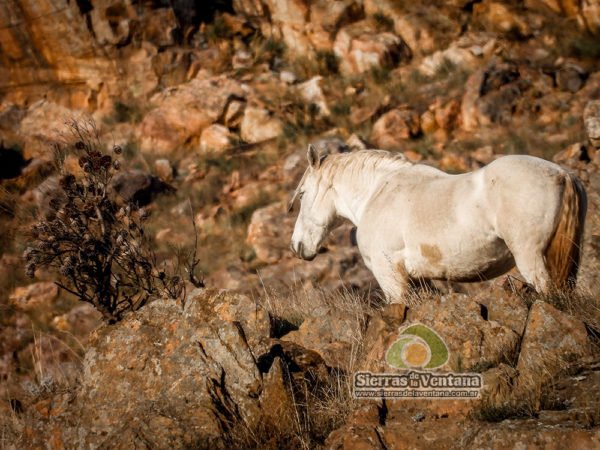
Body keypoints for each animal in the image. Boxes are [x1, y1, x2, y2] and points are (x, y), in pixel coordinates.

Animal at [290, 147, 584, 302]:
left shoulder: (390, 277)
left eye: (302, 194)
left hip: (531, 258)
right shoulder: (418, 281)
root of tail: (562, 174)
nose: (297, 245)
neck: (378, 192)